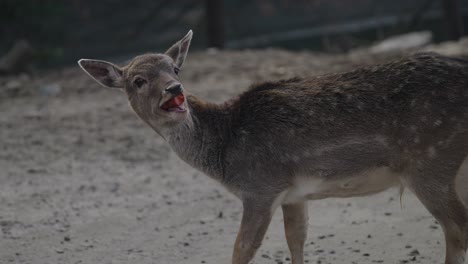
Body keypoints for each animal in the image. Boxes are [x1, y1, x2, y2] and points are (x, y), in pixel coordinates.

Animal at [78, 29, 468, 262]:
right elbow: (296, 239)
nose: (175, 89)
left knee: (457, 228)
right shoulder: (293, 194)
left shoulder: (260, 187)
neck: (223, 153)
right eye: (138, 80)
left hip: (430, 163)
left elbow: (240, 250)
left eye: (175, 68)